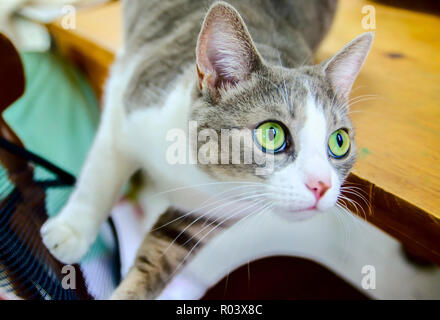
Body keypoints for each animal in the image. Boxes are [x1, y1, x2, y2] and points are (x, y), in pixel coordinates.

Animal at [41, 0, 372, 300]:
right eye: (272, 133)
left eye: (339, 142)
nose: (321, 184)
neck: (199, 176)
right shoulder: (127, 106)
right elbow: (100, 178)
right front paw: (71, 230)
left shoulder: (207, 216)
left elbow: (159, 259)